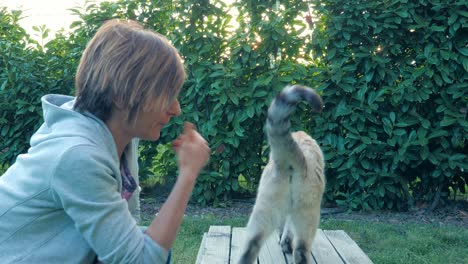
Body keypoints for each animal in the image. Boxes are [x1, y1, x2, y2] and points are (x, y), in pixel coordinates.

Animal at [238, 84, 326, 264]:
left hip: (262, 212)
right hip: (309, 215)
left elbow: (285, 230)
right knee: (301, 251)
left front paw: (284, 244)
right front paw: (285, 244)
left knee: (249, 248)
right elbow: (289, 230)